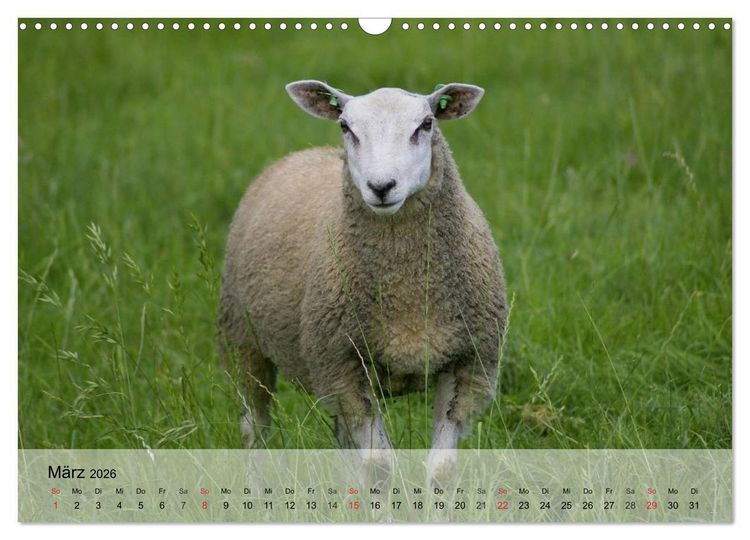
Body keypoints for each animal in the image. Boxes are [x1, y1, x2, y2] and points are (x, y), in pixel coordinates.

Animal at [218, 80, 507, 481]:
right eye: (345, 126)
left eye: (426, 124)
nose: (381, 186)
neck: (405, 285)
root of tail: (303, 152)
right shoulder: (343, 367)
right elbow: (379, 464)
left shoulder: (469, 364)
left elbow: (441, 468)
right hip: (242, 342)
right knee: (254, 433)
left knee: (340, 437)